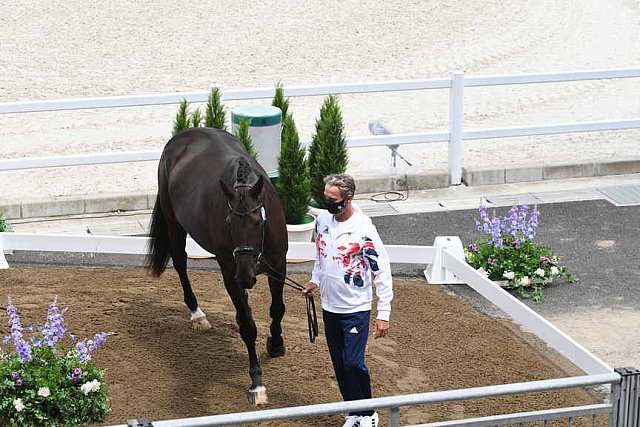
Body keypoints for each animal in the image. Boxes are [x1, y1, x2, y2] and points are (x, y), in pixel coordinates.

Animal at [146, 126, 288, 404]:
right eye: (229, 223)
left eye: (258, 221)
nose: (246, 277)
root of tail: (185, 134)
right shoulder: (230, 273)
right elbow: (249, 327)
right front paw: (256, 383)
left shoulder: (279, 266)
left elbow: (277, 309)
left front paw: (276, 344)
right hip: (174, 222)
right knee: (180, 261)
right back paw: (197, 313)